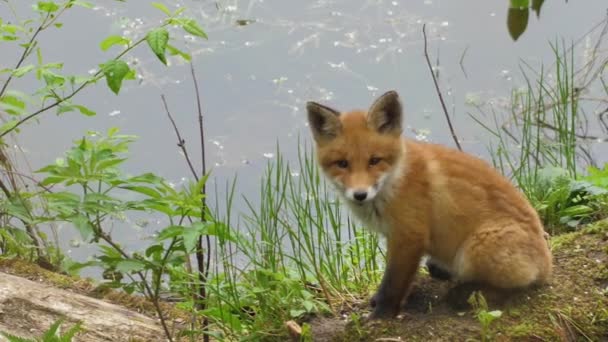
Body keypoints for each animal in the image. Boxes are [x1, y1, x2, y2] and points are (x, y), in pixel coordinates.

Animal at [306, 90, 552, 318]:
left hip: (475, 248)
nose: (360, 194)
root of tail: (547, 263)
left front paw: (381, 314)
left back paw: (465, 294)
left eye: (374, 161)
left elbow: (392, 283)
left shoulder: (409, 236)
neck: (395, 180)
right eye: (342, 163)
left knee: (516, 286)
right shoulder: (396, 236)